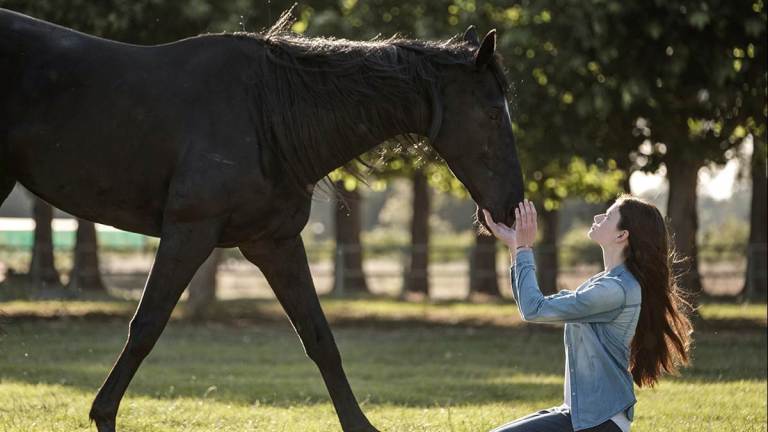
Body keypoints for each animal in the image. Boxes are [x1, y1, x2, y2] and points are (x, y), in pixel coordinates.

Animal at [0, 7, 524, 432]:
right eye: (492, 114)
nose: (512, 207)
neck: (266, 114)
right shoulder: (189, 232)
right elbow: (146, 325)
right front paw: (103, 415)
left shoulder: (274, 243)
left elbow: (319, 338)